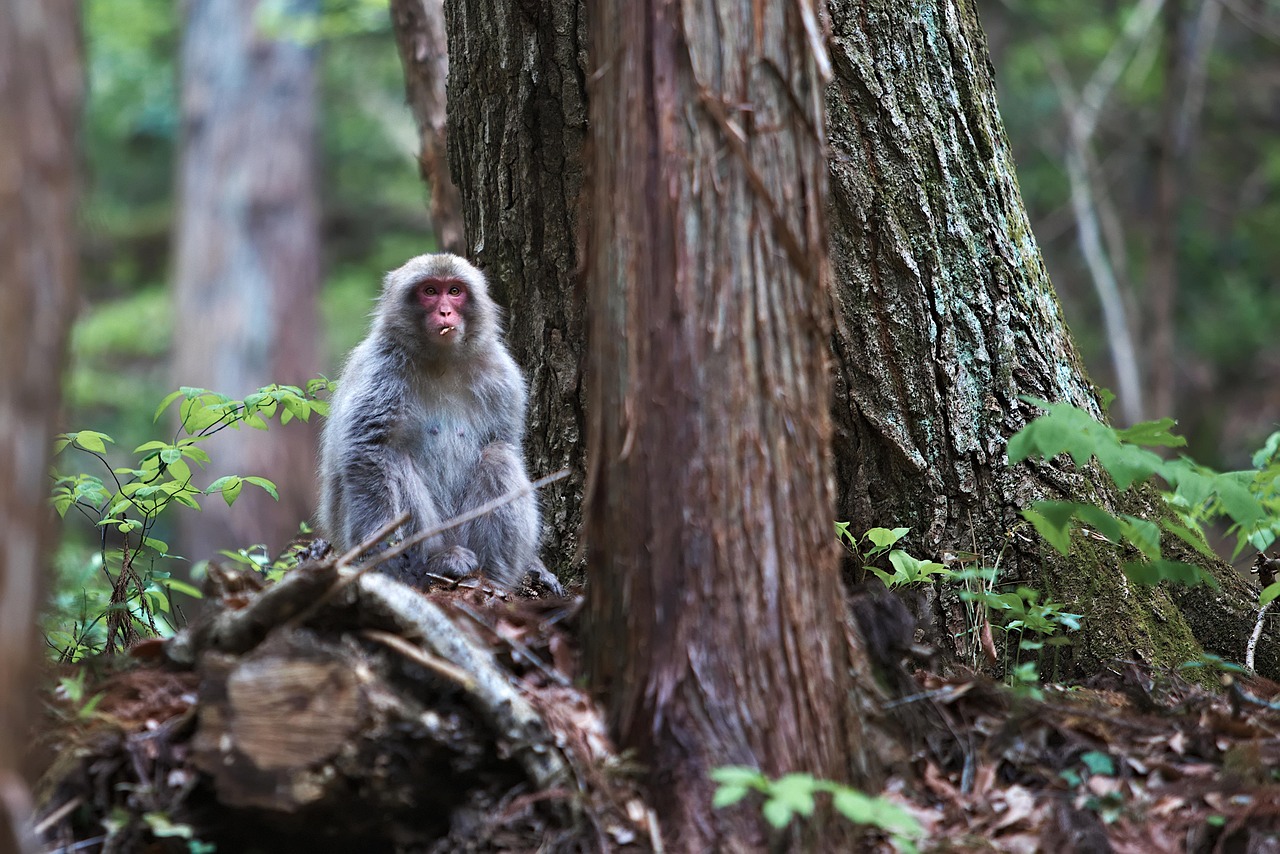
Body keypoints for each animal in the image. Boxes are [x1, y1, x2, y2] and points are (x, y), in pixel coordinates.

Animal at [317, 253, 561, 595]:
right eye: (430, 291)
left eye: (455, 291)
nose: (445, 311)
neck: (442, 360)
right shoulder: (381, 371)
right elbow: (368, 450)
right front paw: (384, 552)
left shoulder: (504, 376)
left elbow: (506, 439)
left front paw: (536, 566)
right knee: (393, 460)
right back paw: (437, 562)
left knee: (498, 454)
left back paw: (493, 579)